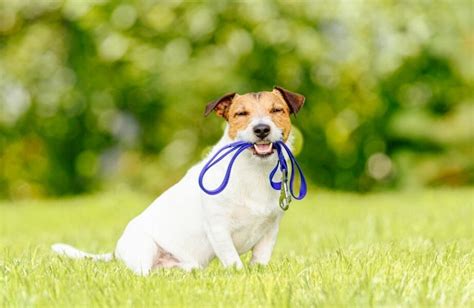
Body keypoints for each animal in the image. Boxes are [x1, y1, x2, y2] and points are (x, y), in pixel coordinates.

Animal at [51, 86, 304, 274]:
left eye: (277, 110)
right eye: (240, 114)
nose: (261, 129)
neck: (254, 171)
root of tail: (117, 252)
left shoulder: (270, 229)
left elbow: (261, 258)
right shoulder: (218, 226)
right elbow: (232, 259)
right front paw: (240, 274)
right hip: (145, 248)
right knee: (143, 274)